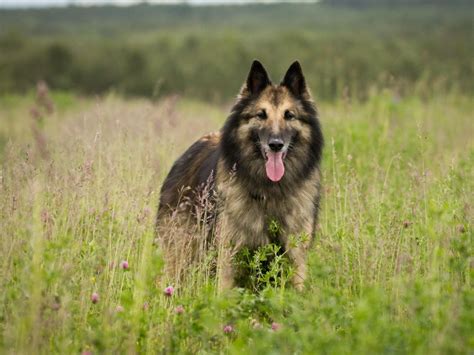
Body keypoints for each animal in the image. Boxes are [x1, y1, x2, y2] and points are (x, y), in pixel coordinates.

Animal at [157, 59, 324, 290]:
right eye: (261, 115)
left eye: (289, 115)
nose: (275, 145)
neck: (271, 191)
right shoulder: (229, 257)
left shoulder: (296, 259)